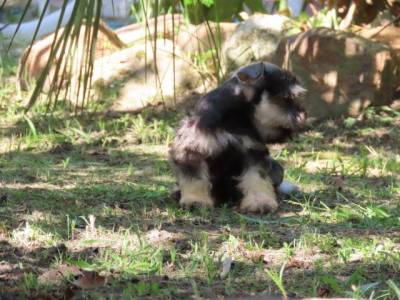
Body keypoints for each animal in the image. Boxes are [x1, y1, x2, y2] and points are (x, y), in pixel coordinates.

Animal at [169, 61, 306, 212]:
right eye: (285, 97)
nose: (303, 117)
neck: (234, 116)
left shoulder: (252, 151)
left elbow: (256, 178)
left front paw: (260, 201)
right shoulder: (192, 150)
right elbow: (195, 179)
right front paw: (195, 200)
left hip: (277, 168)